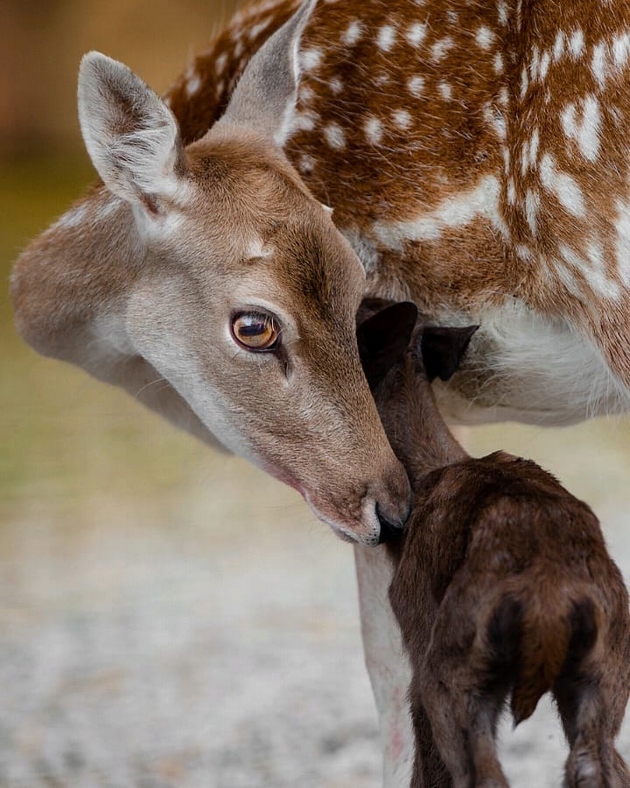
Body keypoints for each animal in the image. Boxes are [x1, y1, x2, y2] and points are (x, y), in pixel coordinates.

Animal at [358, 298, 630, 784]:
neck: (428, 471)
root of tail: (551, 598)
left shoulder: (415, 637)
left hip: (454, 676)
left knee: (481, 773)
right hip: (605, 671)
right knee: (597, 763)